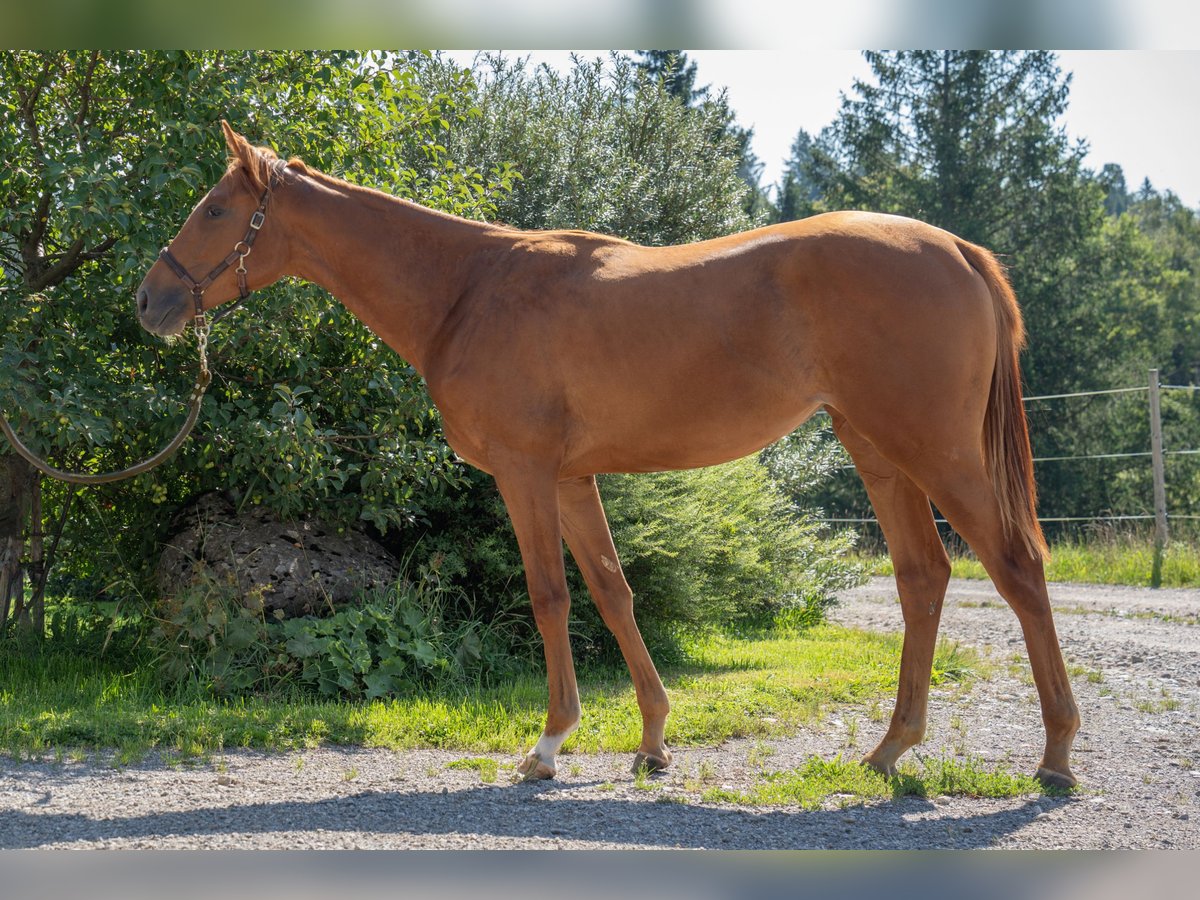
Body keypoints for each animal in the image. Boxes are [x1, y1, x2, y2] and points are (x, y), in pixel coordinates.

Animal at [136, 125, 1084, 787]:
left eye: (214, 209)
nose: (149, 302)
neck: (467, 288)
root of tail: (957, 248)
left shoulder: (524, 474)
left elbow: (551, 597)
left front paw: (549, 745)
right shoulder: (571, 478)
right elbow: (613, 592)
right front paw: (654, 741)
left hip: (938, 452)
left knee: (1016, 566)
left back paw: (1055, 756)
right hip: (879, 450)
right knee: (924, 577)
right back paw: (891, 749)